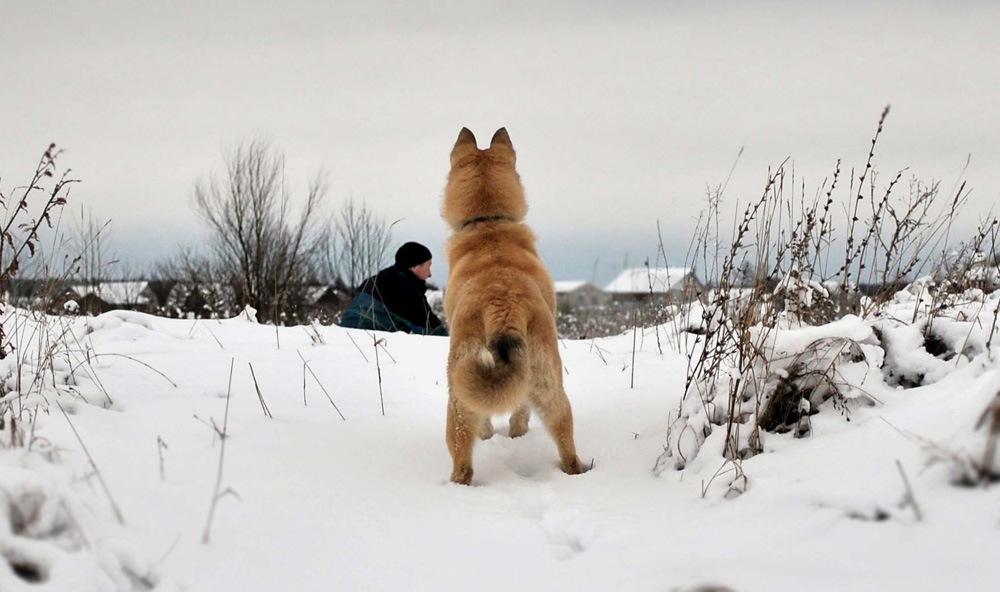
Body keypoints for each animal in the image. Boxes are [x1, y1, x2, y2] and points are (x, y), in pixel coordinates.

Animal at [442, 127, 584, 484]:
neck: (489, 223)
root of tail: (503, 305)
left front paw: (490, 435)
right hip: (549, 384)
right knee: (565, 439)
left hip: (459, 394)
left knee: (463, 458)